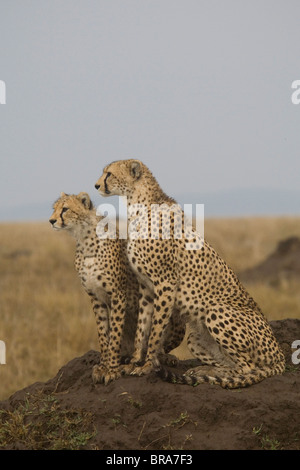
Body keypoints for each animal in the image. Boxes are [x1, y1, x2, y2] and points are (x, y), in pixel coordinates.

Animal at [49, 192, 185, 386]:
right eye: (54, 209)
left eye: (65, 209)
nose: (51, 220)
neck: (84, 239)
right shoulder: (95, 297)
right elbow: (103, 334)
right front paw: (103, 366)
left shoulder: (118, 295)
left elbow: (114, 334)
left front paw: (112, 370)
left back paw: (161, 358)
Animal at [95, 160, 284, 388]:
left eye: (108, 174)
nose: (96, 185)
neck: (138, 206)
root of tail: (280, 355)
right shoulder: (146, 287)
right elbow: (142, 328)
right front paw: (133, 362)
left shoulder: (165, 283)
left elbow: (156, 330)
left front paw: (148, 365)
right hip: (195, 337)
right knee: (233, 365)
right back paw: (204, 370)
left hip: (217, 310)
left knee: (248, 368)